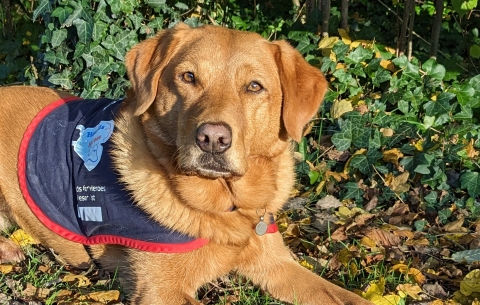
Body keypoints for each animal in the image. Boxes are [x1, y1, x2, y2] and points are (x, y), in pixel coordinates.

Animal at [0, 23, 372, 304]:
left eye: (254, 86)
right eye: (188, 77)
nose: (213, 139)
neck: (226, 208)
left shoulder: (278, 266)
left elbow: (349, 298)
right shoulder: (160, 291)